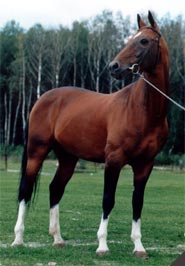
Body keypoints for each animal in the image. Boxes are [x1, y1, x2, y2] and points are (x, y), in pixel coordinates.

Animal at [11, 11, 169, 258]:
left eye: (144, 40)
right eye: (131, 38)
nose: (114, 66)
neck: (142, 111)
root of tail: (41, 99)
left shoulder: (145, 165)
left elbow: (138, 203)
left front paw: (139, 247)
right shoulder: (113, 161)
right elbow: (107, 200)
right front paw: (102, 245)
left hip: (67, 158)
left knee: (55, 189)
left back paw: (57, 239)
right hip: (36, 152)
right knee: (25, 191)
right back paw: (18, 239)